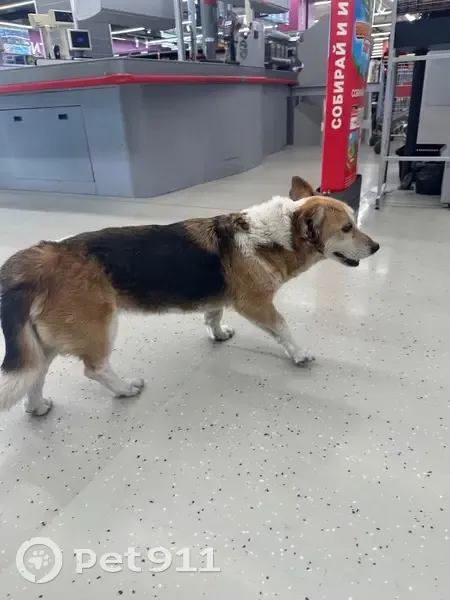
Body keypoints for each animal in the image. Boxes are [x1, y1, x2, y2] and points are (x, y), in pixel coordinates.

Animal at [0, 176, 379, 416]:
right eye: (347, 228)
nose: (376, 247)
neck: (273, 235)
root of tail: (36, 258)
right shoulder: (256, 305)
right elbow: (284, 330)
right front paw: (298, 354)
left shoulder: (221, 300)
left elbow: (213, 315)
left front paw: (218, 334)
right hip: (99, 328)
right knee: (95, 369)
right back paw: (124, 388)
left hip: (45, 344)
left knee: (35, 375)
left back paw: (37, 408)